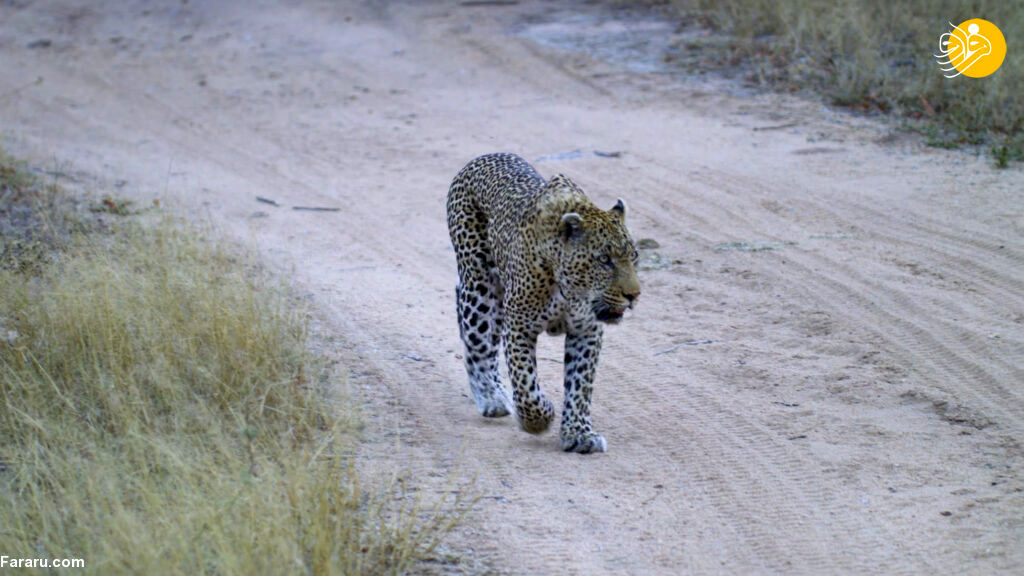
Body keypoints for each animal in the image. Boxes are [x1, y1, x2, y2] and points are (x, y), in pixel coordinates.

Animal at [448, 152, 638, 453]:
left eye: (634, 256)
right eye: (604, 260)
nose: (634, 295)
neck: (570, 290)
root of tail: (485, 157)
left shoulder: (586, 331)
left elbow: (580, 385)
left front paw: (579, 434)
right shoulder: (519, 326)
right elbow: (525, 381)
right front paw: (539, 418)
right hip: (481, 290)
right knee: (478, 343)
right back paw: (491, 398)